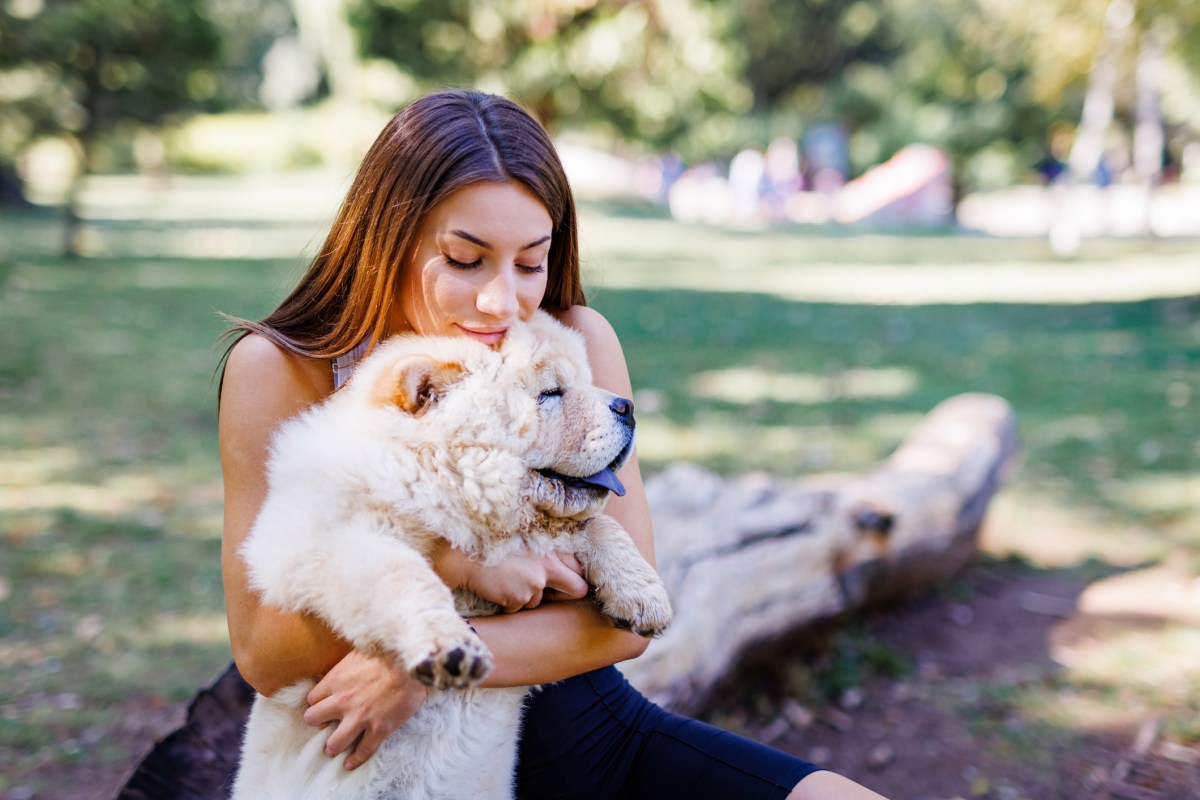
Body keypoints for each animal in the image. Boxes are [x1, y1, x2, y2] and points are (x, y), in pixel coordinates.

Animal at [229, 311, 672, 800]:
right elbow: (404, 573)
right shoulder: (313, 541)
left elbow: (600, 527)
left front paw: (643, 597)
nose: (627, 406)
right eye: (550, 393)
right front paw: (450, 648)